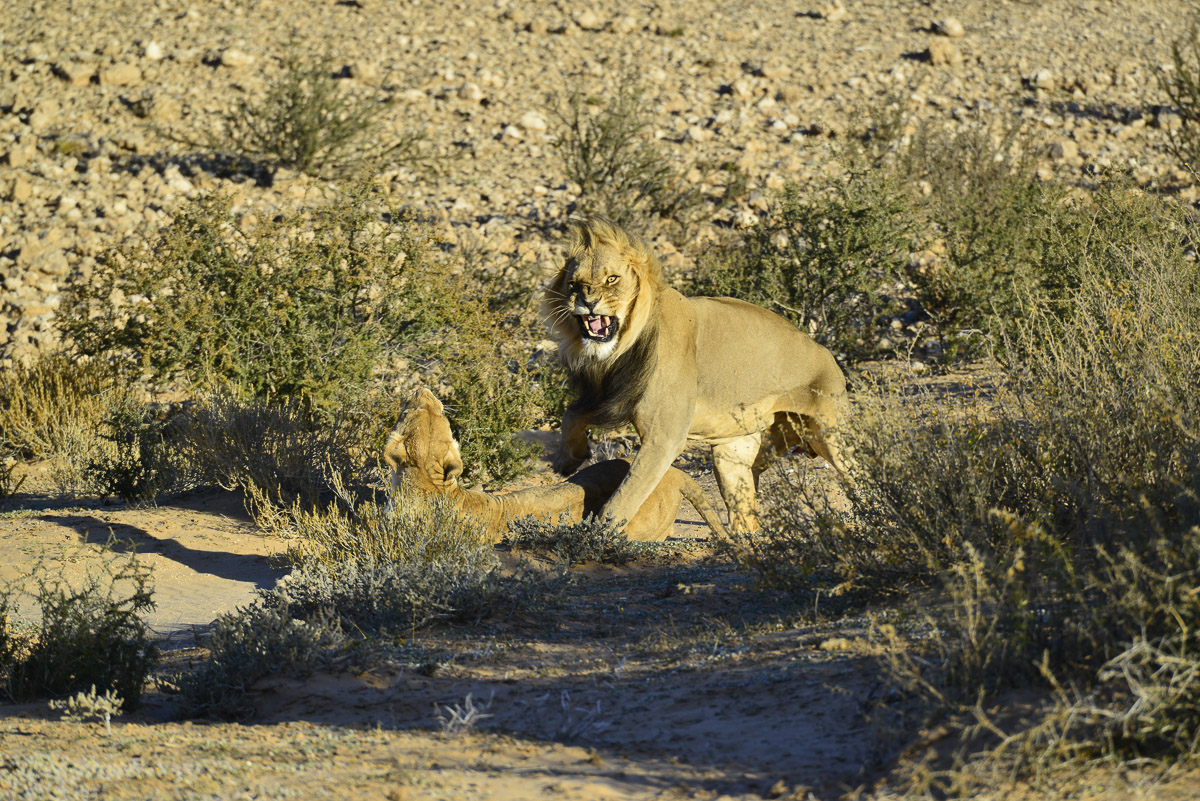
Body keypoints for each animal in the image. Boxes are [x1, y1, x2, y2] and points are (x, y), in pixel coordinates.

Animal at [541, 217, 849, 534]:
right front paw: (567, 461)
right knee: (746, 517)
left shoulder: (663, 437)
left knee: (854, 475)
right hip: (734, 455)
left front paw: (597, 535)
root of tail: (827, 354)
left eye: (611, 279)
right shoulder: (608, 397)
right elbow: (570, 416)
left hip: (831, 437)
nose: (587, 302)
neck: (620, 350)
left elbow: (624, 498)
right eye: (574, 284)